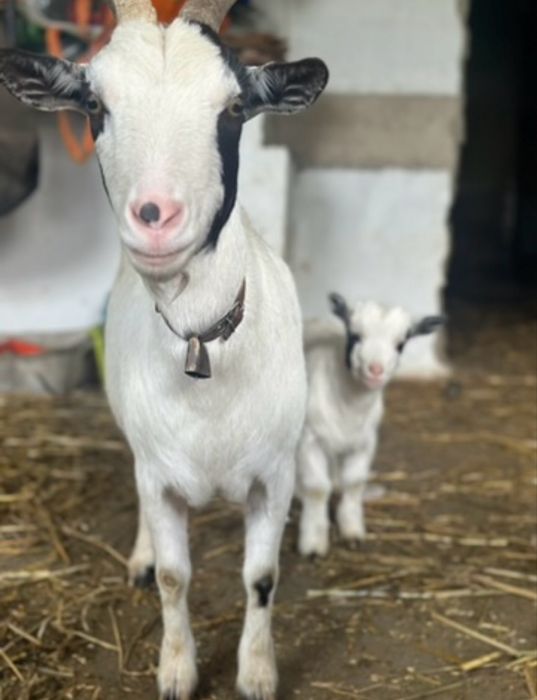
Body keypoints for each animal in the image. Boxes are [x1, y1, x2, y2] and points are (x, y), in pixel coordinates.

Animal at [0, 2, 328, 697]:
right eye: (94, 103)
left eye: (235, 106)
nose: (155, 217)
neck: (205, 345)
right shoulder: (158, 474)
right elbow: (177, 579)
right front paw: (177, 670)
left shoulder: (275, 475)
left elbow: (262, 578)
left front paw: (257, 673)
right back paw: (142, 557)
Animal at [297, 293, 444, 558]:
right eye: (355, 336)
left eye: (401, 344)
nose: (375, 370)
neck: (349, 407)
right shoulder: (309, 440)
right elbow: (317, 488)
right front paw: (313, 542)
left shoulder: (364, 443)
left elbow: (354, 483)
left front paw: (352, 532)